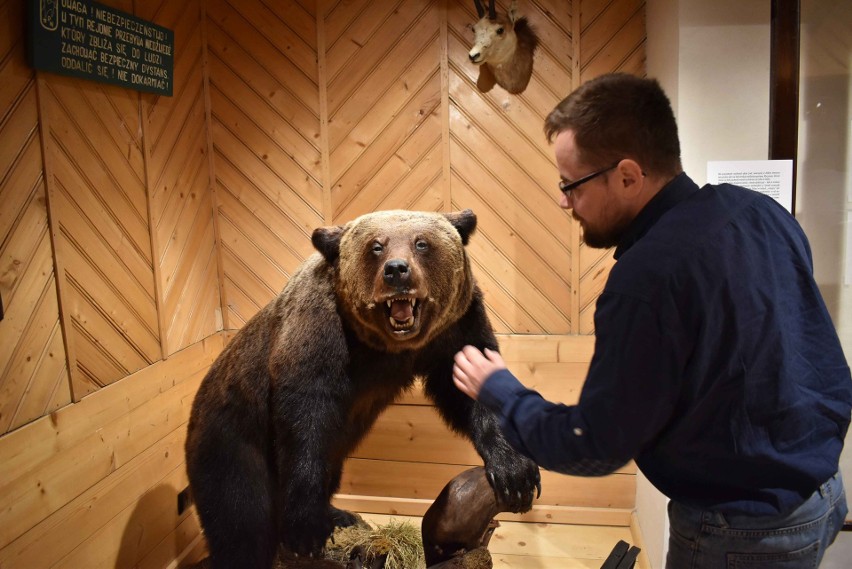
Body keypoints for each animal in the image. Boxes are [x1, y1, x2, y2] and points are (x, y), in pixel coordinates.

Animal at [188, 209, 540, 568]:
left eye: (421, 243)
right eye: (376, 246)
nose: (397, 270)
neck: (384, 346)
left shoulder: (457, 325)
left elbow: (471, 381)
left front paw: (516, 474)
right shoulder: (317, 333)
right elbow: (305, 417)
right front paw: (306, 532)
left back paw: (339, 514)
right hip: (231, 439)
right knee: (242, 518)